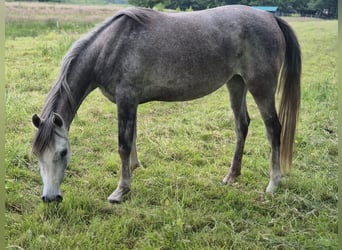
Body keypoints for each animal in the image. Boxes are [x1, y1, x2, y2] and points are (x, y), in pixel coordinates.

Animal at [31, 5, 300, 203]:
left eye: (63, 152)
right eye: (36, 154)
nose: (50, 198)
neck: (110, 46)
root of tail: (270, 16)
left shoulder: (126, 99)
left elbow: (123, 145)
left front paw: (121, 191)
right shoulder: (130, 102)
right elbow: (133, 137)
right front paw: (134, 167)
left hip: (261, 87)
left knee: (273, 128)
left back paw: (273, 183)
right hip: (236, 83)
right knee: (241, 125)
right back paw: (232, 176)